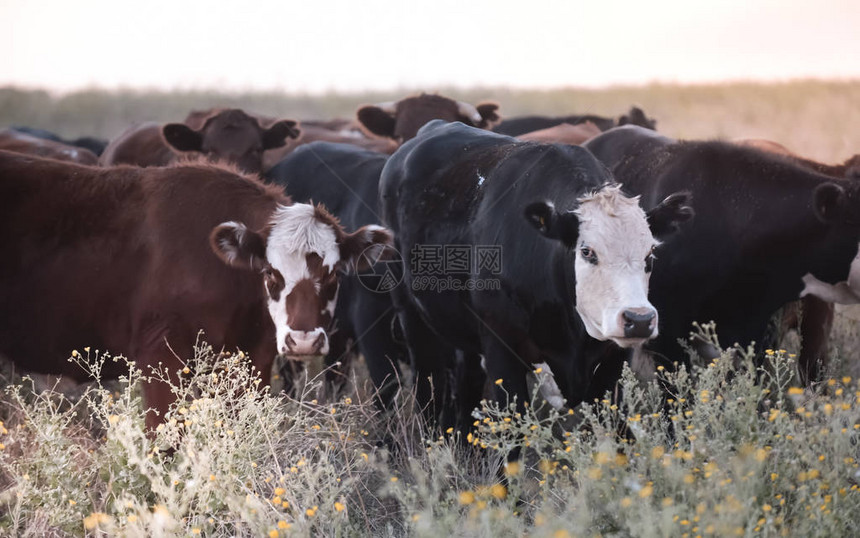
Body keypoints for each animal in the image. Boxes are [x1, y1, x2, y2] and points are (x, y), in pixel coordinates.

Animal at [378, 118, 692, 432]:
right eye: (587, 251)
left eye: (650, 254)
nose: (639, 320)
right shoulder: (502, 350)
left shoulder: (612, 361)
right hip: (412, 317)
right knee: (427, 385)